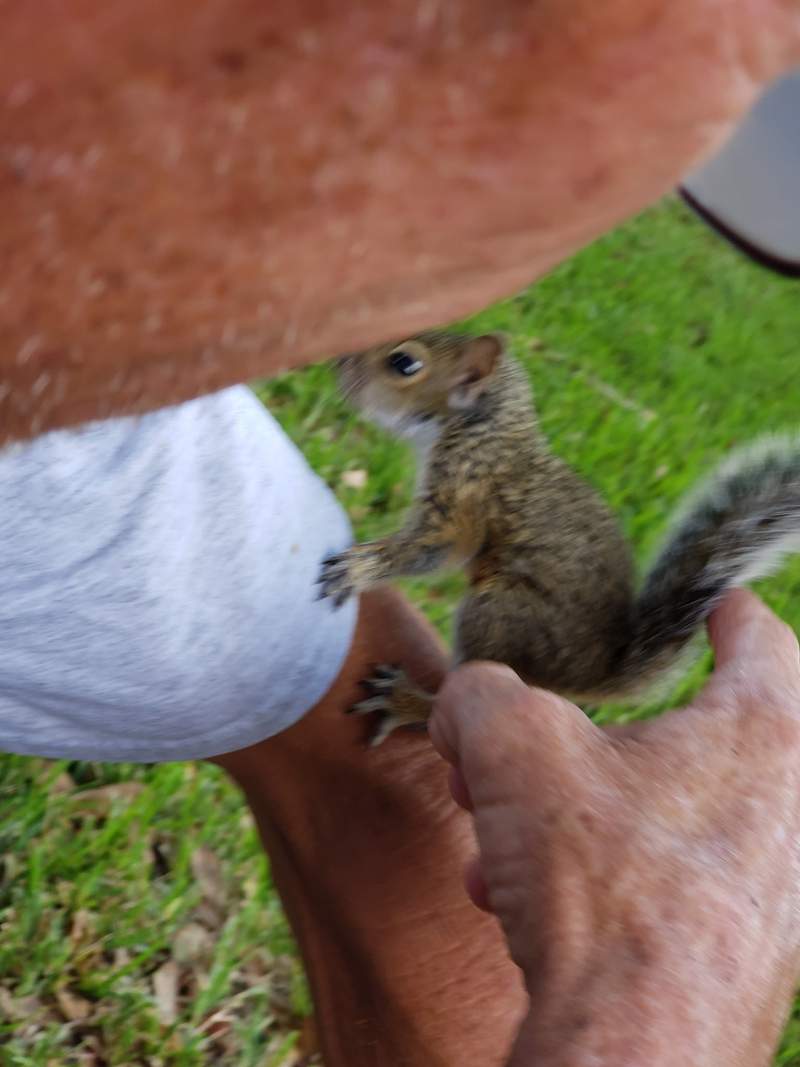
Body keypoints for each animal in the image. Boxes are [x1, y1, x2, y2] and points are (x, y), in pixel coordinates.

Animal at [318, 330, 800, 745]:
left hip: (496, 615)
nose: (339, 362)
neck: (480, 428)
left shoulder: (464, 497)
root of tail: (589, 677)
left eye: (404, 363)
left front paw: (360, 568)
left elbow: (440, 548)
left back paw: (407, 701)